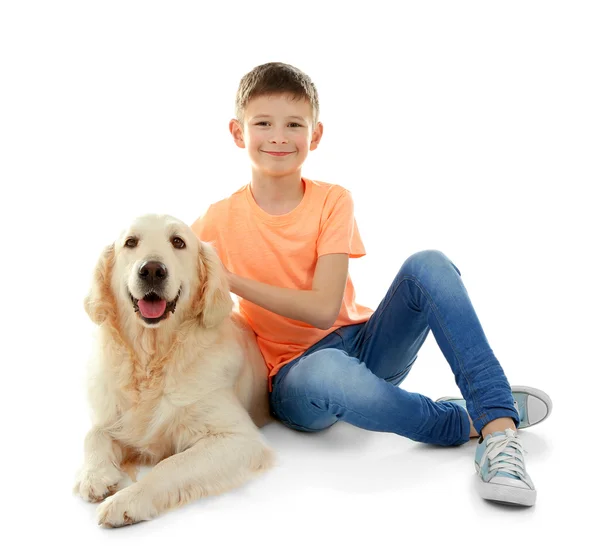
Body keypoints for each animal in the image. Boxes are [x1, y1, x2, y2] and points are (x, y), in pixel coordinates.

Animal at [73, 213, 276, 528]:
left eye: (178, 242)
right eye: (130, 242)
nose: (152, 270)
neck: (153, 356)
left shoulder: (240, 439)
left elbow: (169, 464)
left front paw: (126, 501)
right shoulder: (109, 410)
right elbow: (93, 434)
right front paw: (94, 476)